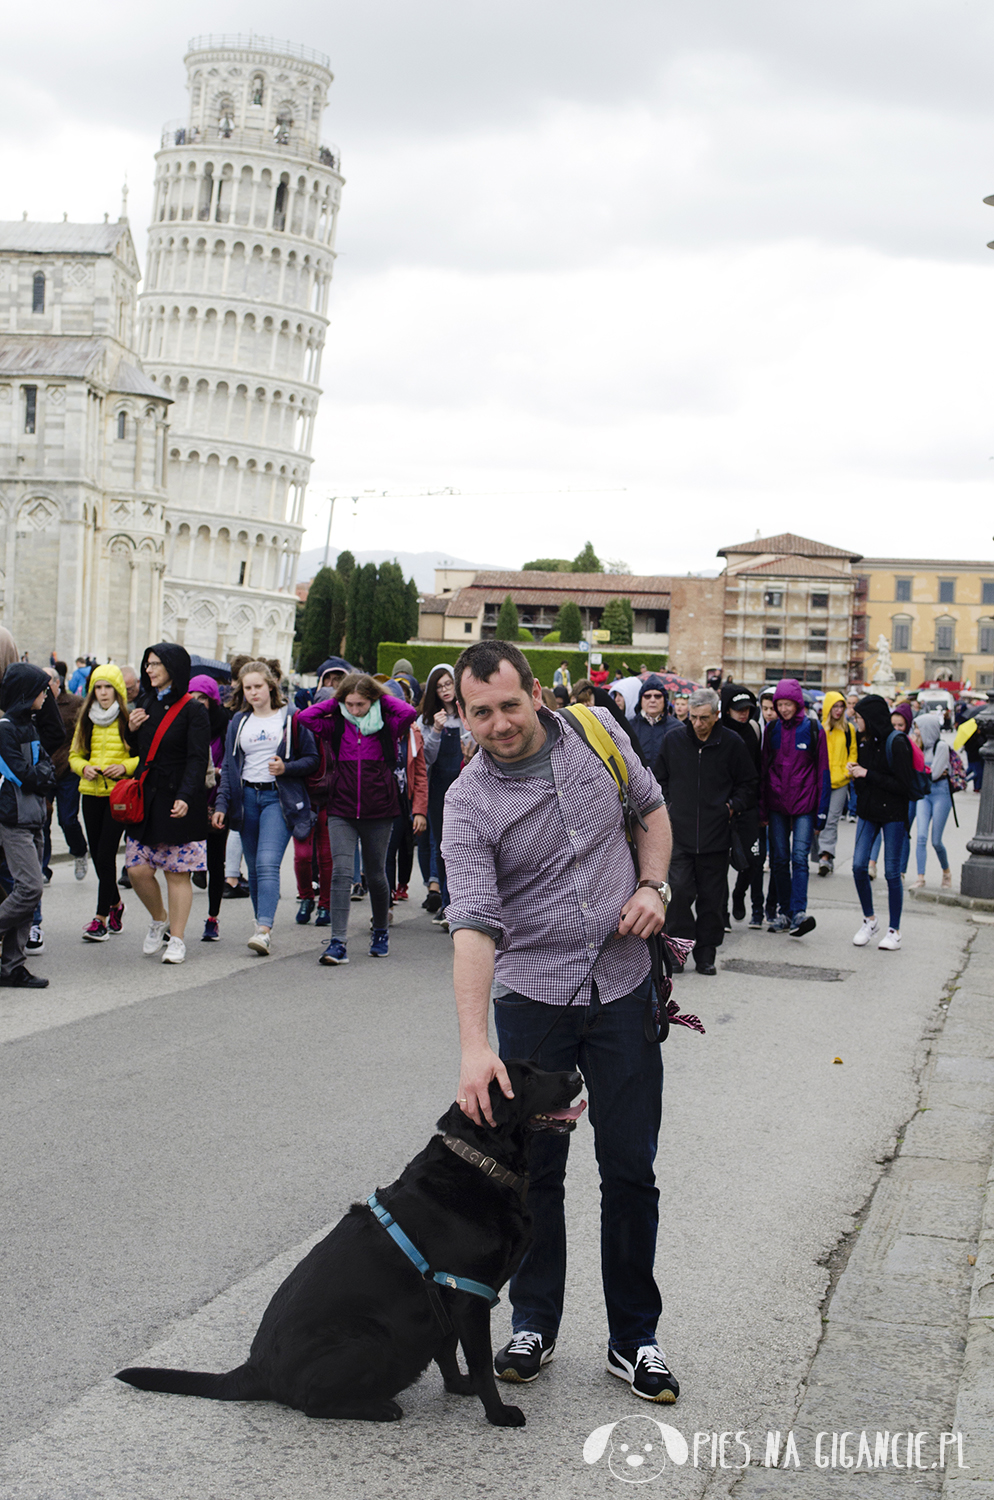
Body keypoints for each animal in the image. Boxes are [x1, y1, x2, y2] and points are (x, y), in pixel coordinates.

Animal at [116, 1062, 584, 1422]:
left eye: (539, 1067)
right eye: (526, 1078)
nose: (576, 1074)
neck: (482, 1163)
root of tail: (256, 1368)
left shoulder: (447, 1303)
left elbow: (448, 1350)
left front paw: (458, 1387)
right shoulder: (468, 1298)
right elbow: (482, 1364)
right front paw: (498, 1414)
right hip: (370, 1337)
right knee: (311, 1404)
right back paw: (379, 1408)